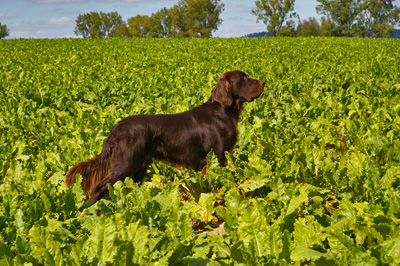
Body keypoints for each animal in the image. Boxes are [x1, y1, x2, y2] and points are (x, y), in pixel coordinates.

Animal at [66, 70, 264, 204]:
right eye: (244, 78)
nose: (263, 81)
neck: (223, 111)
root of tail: (116, 128)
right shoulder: (217, 156)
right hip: (125, 164)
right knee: (99, 187)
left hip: (138, 168)